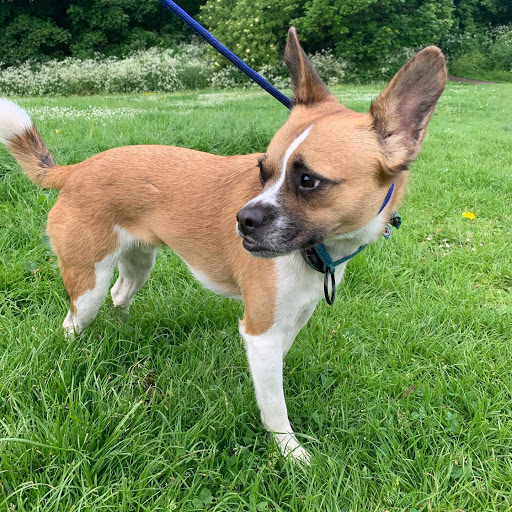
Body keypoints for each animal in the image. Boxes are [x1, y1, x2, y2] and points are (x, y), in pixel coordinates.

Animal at [0, 28, 446, 462]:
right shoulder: (261, 334)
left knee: (120, 295)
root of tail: (75, 171)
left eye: (308, 181)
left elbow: (272, 384)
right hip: (87, 281)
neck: (318, 251)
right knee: (74, 322)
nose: (242, 220)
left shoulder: (289, 324)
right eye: (262, 170)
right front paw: (291, 453)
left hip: (137, 264)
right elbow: (275, 407)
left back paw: (125, 330)